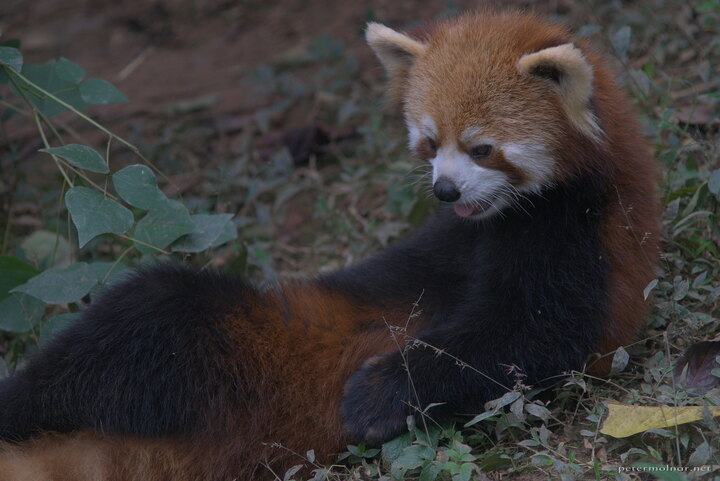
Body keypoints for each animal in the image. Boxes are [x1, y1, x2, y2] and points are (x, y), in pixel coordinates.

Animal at [0, 10, 660, 480]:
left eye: (482, 149)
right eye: (429, 142)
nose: (445, 190)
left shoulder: (579, 236)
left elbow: (530, 337)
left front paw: (377, 394)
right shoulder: (446, 239)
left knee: (146, 320)